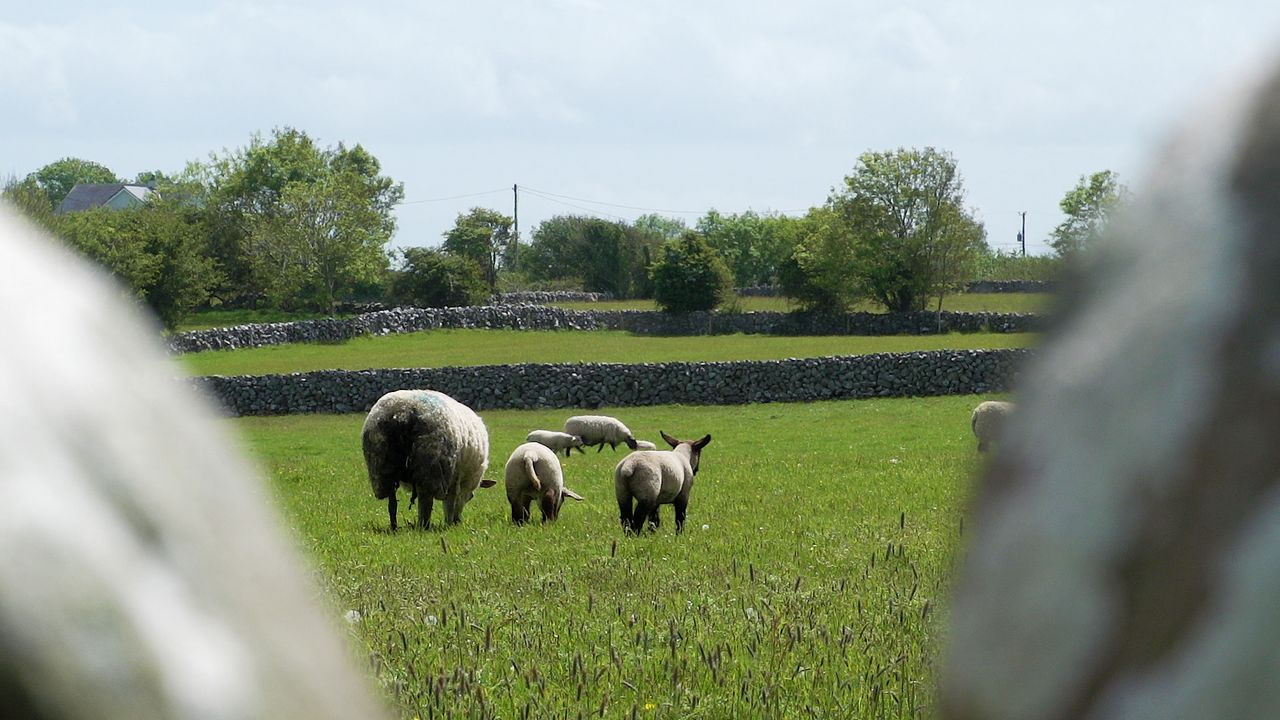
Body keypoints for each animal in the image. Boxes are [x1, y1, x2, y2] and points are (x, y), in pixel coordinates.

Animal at [362, 389, 494, 531]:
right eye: (471, 497)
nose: (458, 521)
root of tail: (402, 414)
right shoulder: (455, 478)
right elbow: (451, 502)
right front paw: (449, 523)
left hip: (381, 465)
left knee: (392, 502)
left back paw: (394, 527)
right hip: (431, 464)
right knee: (425, 501)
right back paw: (424, 526)